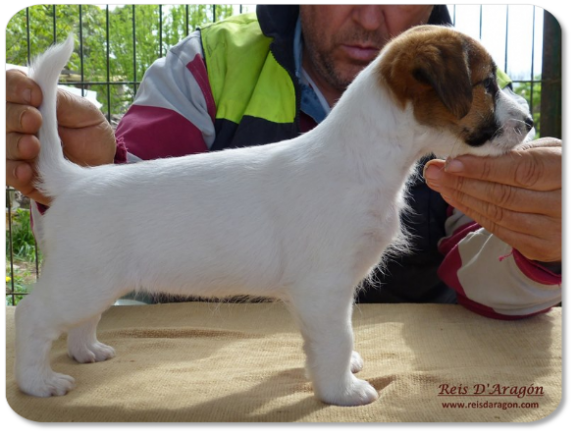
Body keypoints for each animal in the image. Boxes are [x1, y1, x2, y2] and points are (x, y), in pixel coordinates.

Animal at [14, 23, 532, 406]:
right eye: (487, 84)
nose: (529, 123)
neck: (360, 157)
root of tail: (74, 180)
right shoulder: (325, 286)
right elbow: (338, 337)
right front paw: (342, 390)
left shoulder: (325, 292)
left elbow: (330, 338)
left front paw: (335, 375)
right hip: (81, 281)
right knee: (32, 317)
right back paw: (38, 382)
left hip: (94, 283)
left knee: (80, 321)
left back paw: (87, 351)